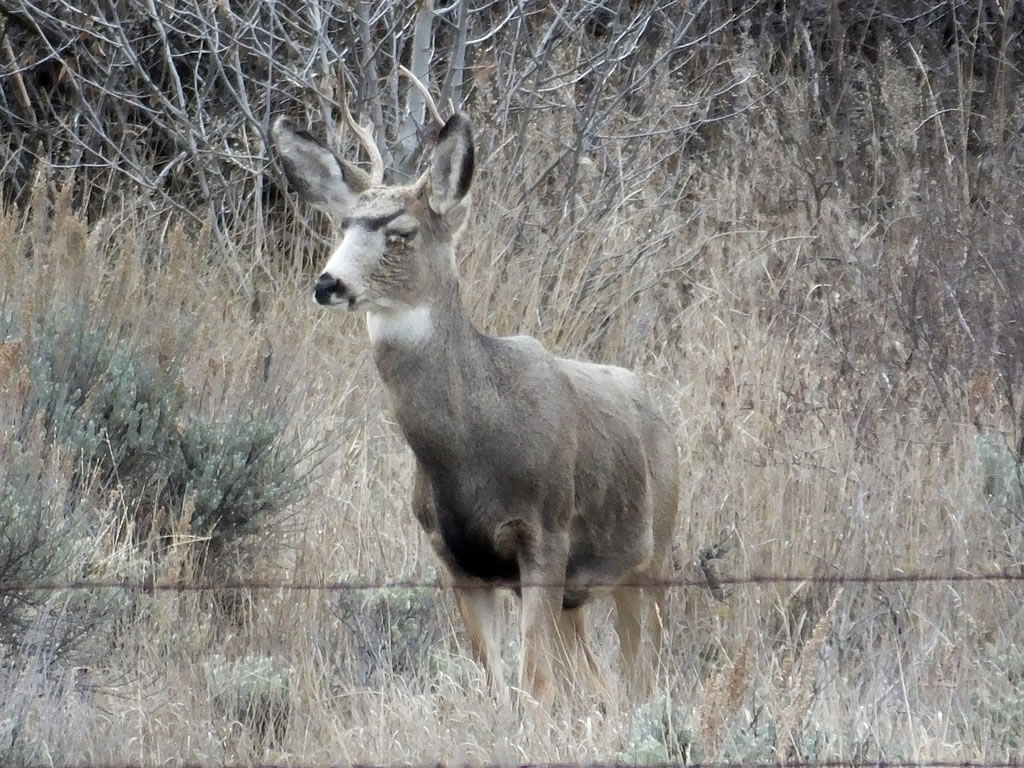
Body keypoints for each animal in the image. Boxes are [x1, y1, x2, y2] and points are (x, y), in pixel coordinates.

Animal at [271, 73, 680, 710]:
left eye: (402, 233)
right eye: (343, 226)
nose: (328, 283)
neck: (472, 446)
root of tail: (657, 409)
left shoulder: (545, 534)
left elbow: (535, 684)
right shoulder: (455, 556)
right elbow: (495, 683)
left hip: (652, 555)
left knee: (640, 677)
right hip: (581, 593)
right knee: (601, 680)